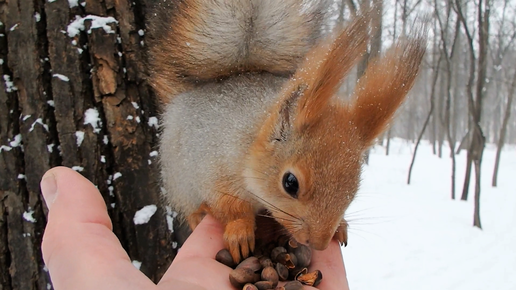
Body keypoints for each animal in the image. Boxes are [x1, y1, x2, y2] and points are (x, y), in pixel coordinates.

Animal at [147, 0, 426, 262]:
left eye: (355, 188)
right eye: (290, 183)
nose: (319, 244)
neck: (249, 143)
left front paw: (341, 225)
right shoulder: (214, 170)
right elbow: (230, 207)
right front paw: (240, 231)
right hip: (178, 178)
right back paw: (199, 214)